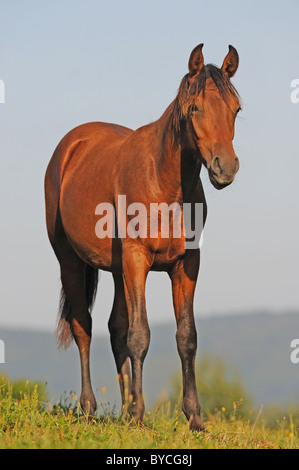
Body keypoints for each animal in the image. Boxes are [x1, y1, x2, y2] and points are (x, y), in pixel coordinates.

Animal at [44, 44, 241, 430]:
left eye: (236, 109)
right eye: (194, 107)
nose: (225, 168)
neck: (165, 182)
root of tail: (71, 146)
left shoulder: (186, 263)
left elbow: (185, 337)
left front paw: (194, 418)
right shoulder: (138, 260)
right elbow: (140, 335)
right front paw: (138, 416)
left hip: (117, 270)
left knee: (114, 328)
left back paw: (121, 410)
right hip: (70, 261)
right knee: (83, 327)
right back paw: (89, 409)